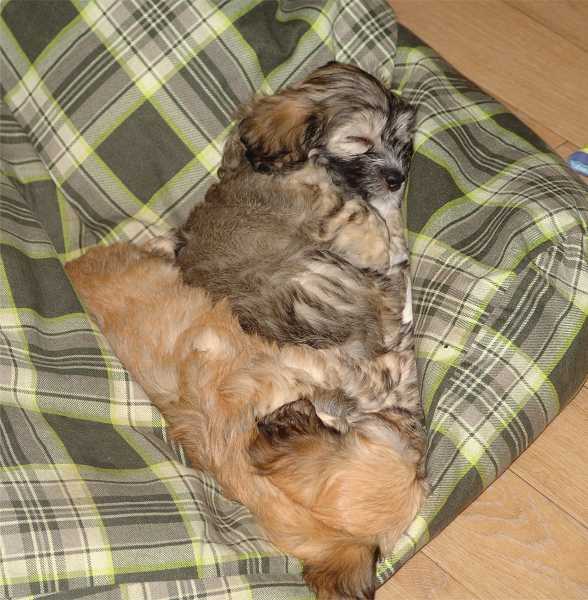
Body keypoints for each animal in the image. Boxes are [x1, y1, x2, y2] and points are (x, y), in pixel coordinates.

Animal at [65, 242, 428, 599]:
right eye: (416, 473)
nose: (417, 437)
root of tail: (74, 265)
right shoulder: (306, 362)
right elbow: (364, 377)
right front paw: (398, 368)